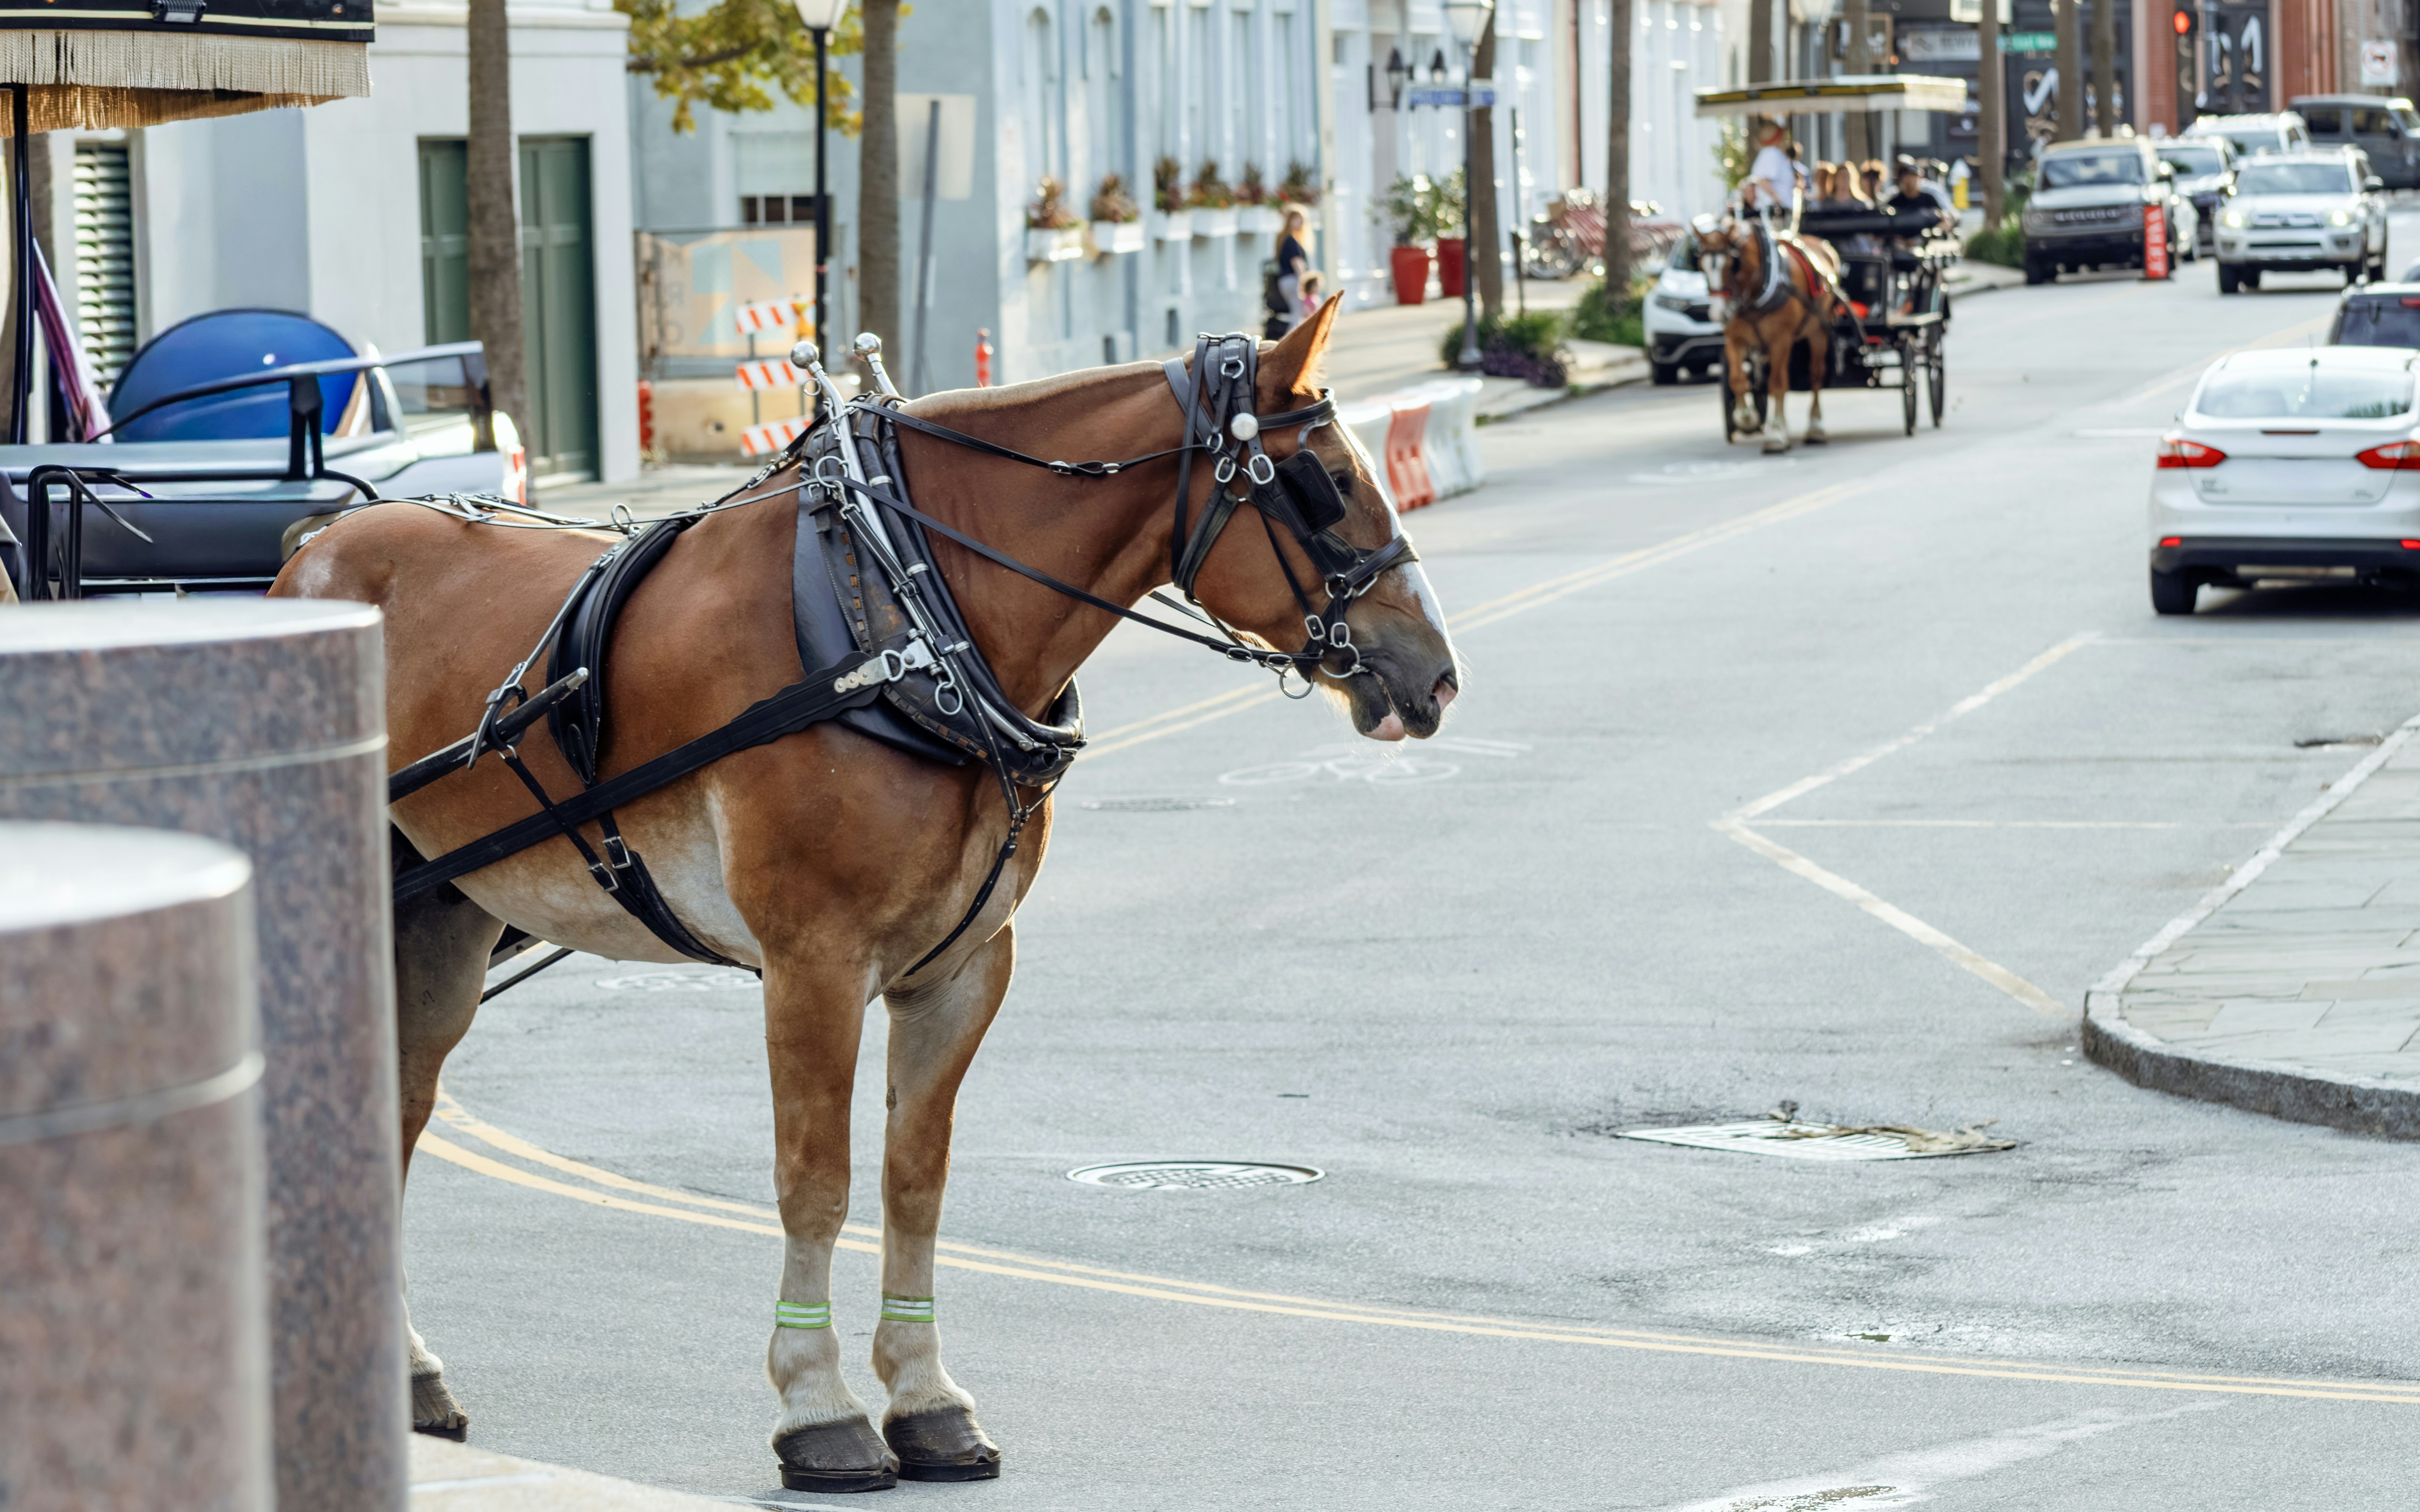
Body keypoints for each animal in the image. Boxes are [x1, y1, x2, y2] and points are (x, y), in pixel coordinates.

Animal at [270, 298, 1461, 1492]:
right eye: (1325, 480)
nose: (1438, 673)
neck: (903, 615)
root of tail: (314, 546)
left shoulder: (962, 966)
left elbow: (912, 1177)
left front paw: (926, 1397)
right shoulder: (814, 964)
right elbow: (817, 1178)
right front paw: (820, 1408)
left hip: (442, 918)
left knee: (395, 1112)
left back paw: (407, 1370)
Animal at [1697, 212, 1844, 453]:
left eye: (1733, 265)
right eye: (1702, 267)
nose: (1718, 315)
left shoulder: (1781, 341)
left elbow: (1777, 384)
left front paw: (1775, 434)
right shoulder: (1734, 340)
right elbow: (1738, 380)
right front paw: (1747, 420)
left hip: (1818, 333)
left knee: (1815, 376)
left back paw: (1815, 427)